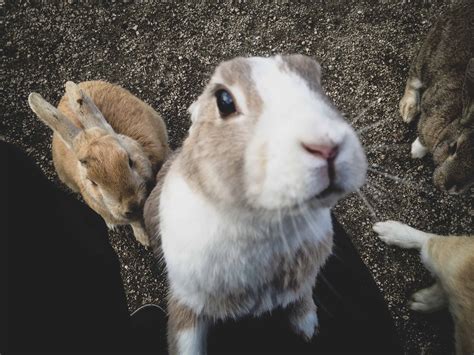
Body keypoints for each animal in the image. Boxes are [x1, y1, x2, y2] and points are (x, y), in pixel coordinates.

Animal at [143, 54, 366, 354]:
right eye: (224, 101)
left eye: (317, 81)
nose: (326, 146)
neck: (264, 224)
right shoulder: (186, 299)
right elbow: (186, 341)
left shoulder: (302, 280)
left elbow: (302, 298)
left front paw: (307, 328)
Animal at [400, 0, 474, 195]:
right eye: (453, 147)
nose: (450, 188)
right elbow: (422, 136)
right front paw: (415, 152)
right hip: (427, 55)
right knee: (413, 79)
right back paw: (408, 110)